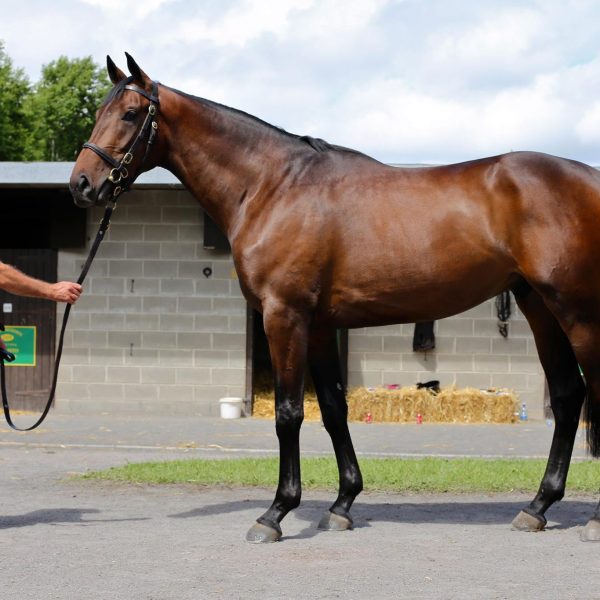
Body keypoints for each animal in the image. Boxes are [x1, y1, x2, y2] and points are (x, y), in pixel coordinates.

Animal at [72, 55, 600, 544]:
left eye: (130, 114)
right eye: (99, 111)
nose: (81, 184)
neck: (272, 186)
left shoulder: (284, 316)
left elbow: (289, 413)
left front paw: (275, 513)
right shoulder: (322, 325)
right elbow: (331, 408)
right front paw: (343, 504)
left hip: (576, 312)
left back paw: (590, 521)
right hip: (538, 306)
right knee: (568, 396)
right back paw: (537, 507)